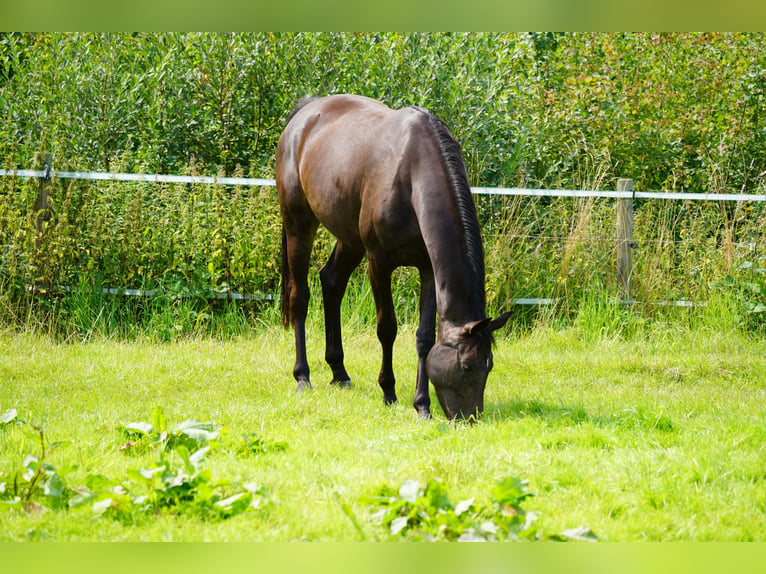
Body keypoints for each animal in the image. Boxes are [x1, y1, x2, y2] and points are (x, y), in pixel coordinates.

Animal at [276, 95, 510, 424]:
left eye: (489, 366)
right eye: (466, 366)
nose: (468, 418)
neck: (412, 177)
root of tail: (306, 112)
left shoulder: (428, 268)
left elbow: (424, 338)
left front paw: (422, 405)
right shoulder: (379, 263)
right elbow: (387, 328)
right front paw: (389, 392)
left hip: (349, 238)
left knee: (332, 282)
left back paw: (339, 372)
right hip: (299, 222)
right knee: (300, 296)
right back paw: (303, 377)